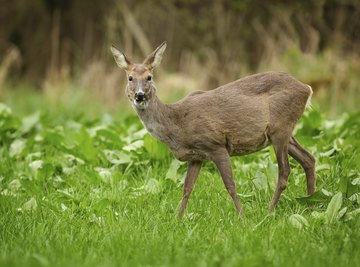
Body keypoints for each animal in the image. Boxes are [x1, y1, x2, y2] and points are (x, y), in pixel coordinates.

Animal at [109, 41, 316, 218]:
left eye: (149, 77)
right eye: (130, 78)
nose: (139, 95)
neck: (177, 124)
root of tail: (307, 88)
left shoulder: (216, 144)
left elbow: (230, 185)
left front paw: (242, 217)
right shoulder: (196, 156)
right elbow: (187, 189)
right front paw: (177, 219)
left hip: (280, 127)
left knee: (285, 171)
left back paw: (269, 211)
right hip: (283, 132)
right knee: (309, 159)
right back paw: (310, 206)